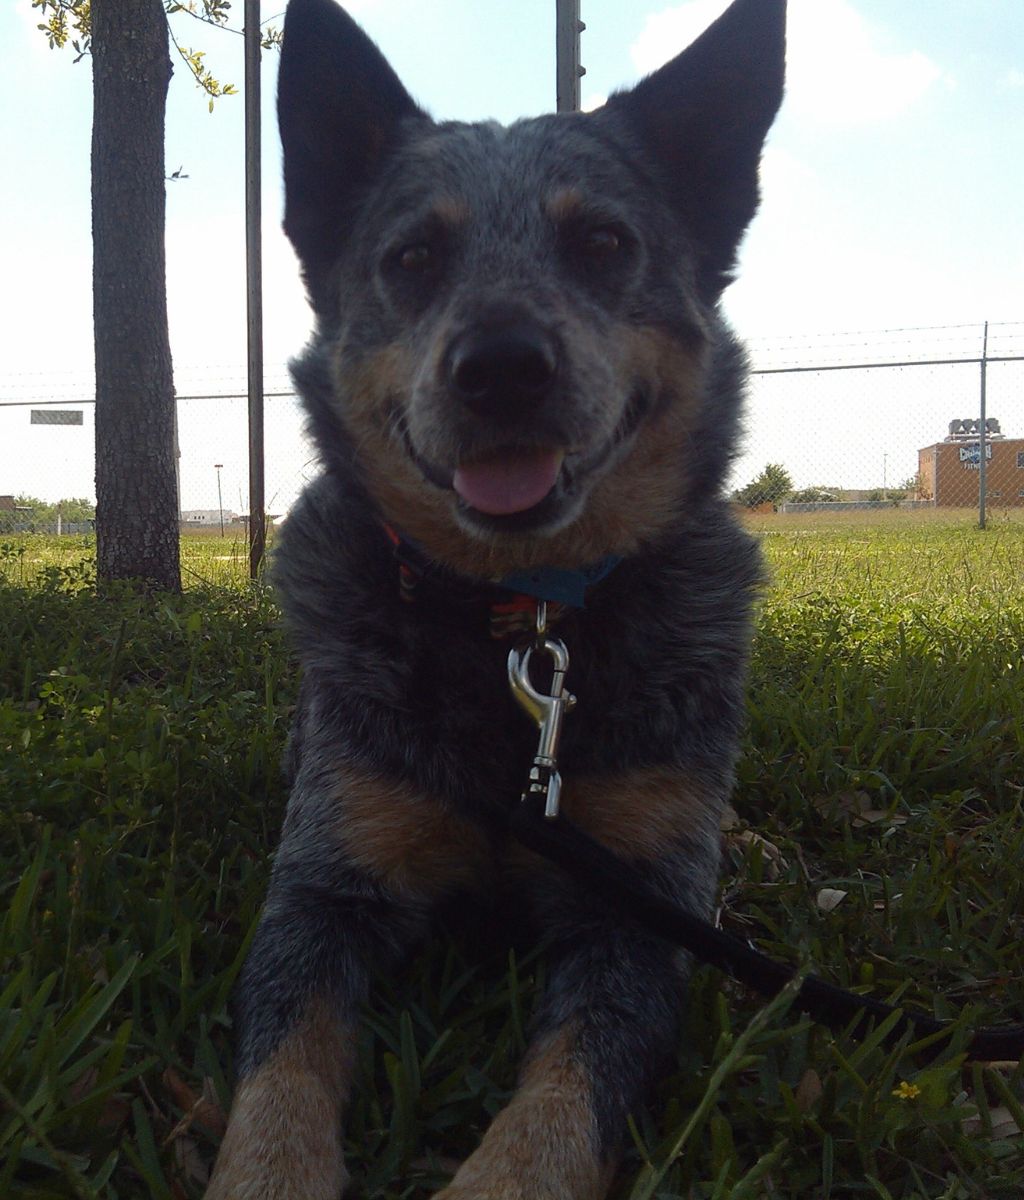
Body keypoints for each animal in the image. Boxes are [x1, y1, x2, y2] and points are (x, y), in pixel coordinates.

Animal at [205, 0, 782, 1195]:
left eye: (603, 243)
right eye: (413, 256)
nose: (502, 365)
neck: (520, 625)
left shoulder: (634, 918)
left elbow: (560, 1106)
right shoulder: (325, 884)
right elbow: (284, 1066)